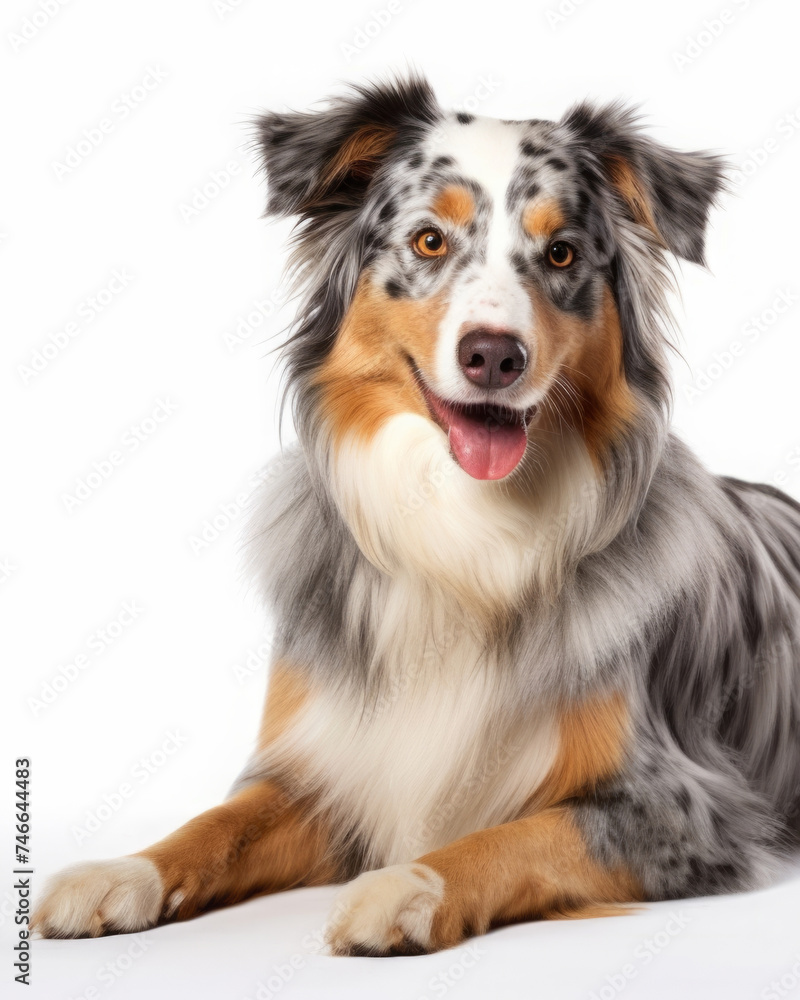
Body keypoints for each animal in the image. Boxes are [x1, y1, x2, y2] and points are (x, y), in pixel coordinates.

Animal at [31, 76, 800, 952]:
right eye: (429, 241)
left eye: (563, 253)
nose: (494, 355)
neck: (464, 527)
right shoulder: (329, 767)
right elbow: (215, 824)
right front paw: (121, 873)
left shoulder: (687, 804)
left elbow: (516, 835)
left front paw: (410, 885)